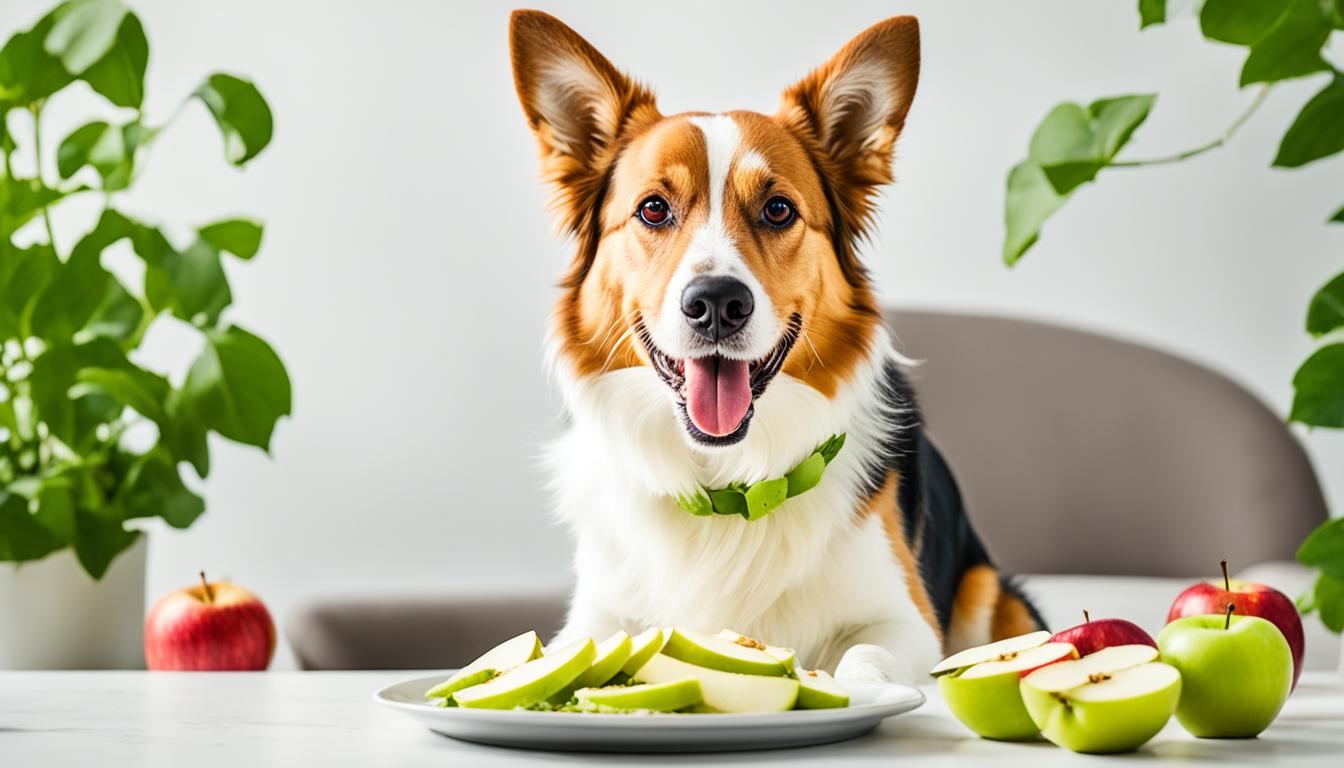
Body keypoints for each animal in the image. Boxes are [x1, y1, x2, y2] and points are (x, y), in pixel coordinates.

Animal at [508, 10, 1042, 685]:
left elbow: (866, 657)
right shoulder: (596, 616)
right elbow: (563, 655)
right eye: (653, 209)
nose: (715, 304)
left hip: (988, 592)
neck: (727, 484)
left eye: (778, 209)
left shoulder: (907, 620)